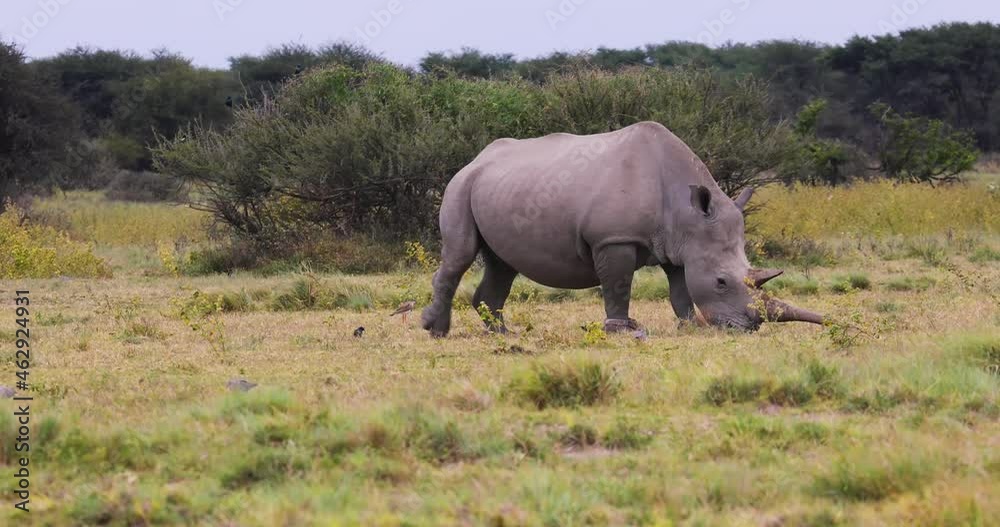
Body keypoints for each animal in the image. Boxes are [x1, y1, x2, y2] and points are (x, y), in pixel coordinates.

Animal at [422, 121, 824, 337]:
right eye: (722, 282)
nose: (748, 327)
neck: (687, 213)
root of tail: (477, 159)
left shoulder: (678, 244)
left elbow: (679, 289)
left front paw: (689, 326)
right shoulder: (613, 239)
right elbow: (618, 285)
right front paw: (622, 329)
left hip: (499, 187)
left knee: (502, 264)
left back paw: (502, 333)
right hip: (460, 186)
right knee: (460, 255)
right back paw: (436, 331)